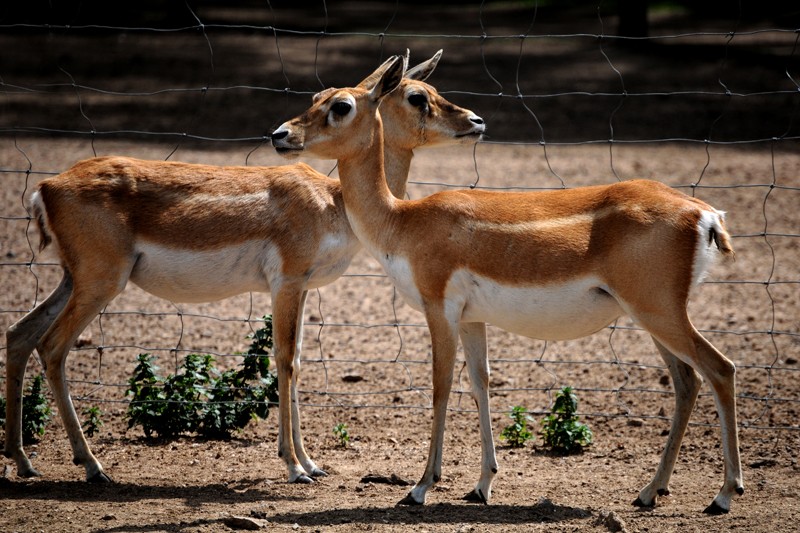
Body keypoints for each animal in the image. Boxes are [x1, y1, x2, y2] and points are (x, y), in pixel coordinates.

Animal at [3, 51, 484, 486]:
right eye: (417, 96)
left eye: (334, 101)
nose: (476, 122)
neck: (333, 202)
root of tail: (47, 186)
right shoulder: (286, 281)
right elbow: (284, 361)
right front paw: (294, 468)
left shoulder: (301, 286)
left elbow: (297, 360)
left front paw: (312, 464)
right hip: (101, 281)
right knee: (52, 347)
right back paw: (92, 467)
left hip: (75, 279)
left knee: (20, 333)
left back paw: (25, 462)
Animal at [274, 55, 744, 516]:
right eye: (316, 97)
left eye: (341, 106)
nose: (281, 134)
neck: (404, 221)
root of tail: (704, 213)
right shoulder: (471, 319)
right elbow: (480, 384)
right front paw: (481, 485)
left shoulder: (438, 309)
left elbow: (441, 387)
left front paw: (420, 487)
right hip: (651, 315)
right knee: (687, 381)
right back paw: (650, 491)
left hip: (658, 311)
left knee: (721, 368)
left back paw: (723, 495)